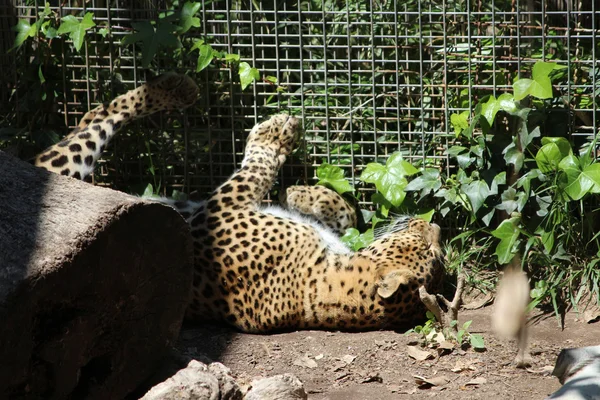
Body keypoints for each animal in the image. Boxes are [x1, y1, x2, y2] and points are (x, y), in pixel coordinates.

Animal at [188, 114, 446, 332]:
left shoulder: (219, 212)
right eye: (430, 247)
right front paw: (306, 196)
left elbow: (257, 167)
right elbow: (348, 218)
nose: (435, 226)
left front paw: (274, 133)